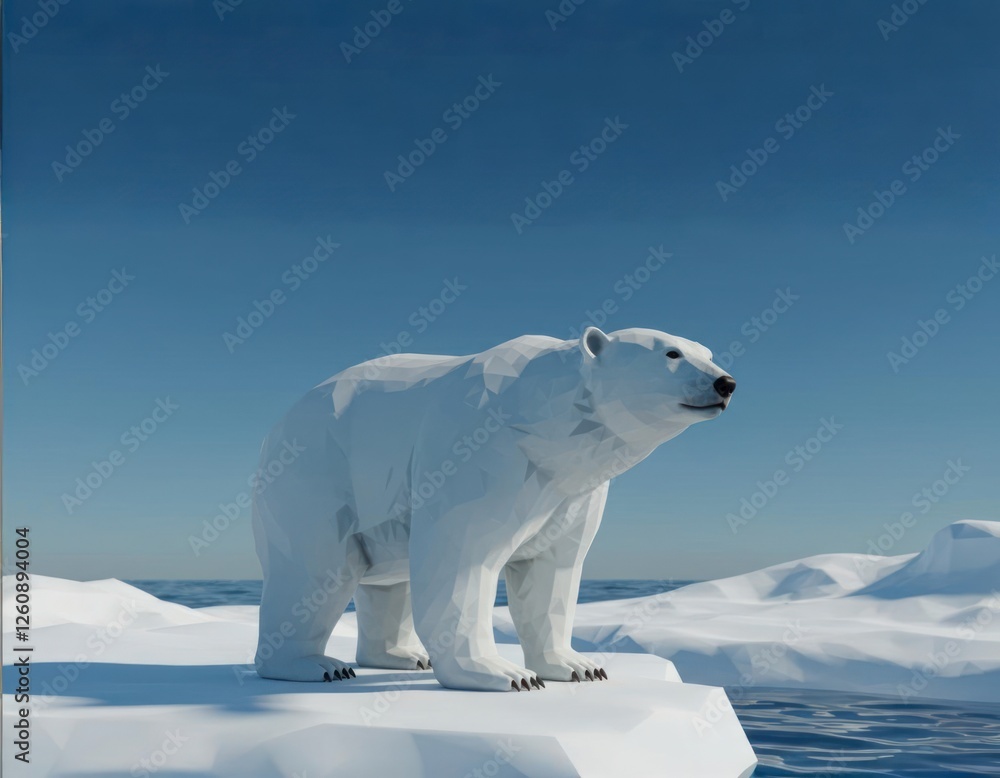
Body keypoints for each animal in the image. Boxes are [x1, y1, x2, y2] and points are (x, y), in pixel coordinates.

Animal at [252, 326, 736, 691]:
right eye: (671, 353)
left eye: (707, 352)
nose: (725, 383)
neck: (546, 425)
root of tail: (276, 428)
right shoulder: (483, 452)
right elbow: (461, 561)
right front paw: (506, 674)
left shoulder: (574, 490)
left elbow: (552, 573)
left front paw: (580, 666)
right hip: (317, 475)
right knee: (314, 571)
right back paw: (316, 665)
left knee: (389, 583)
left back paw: (403, 655)